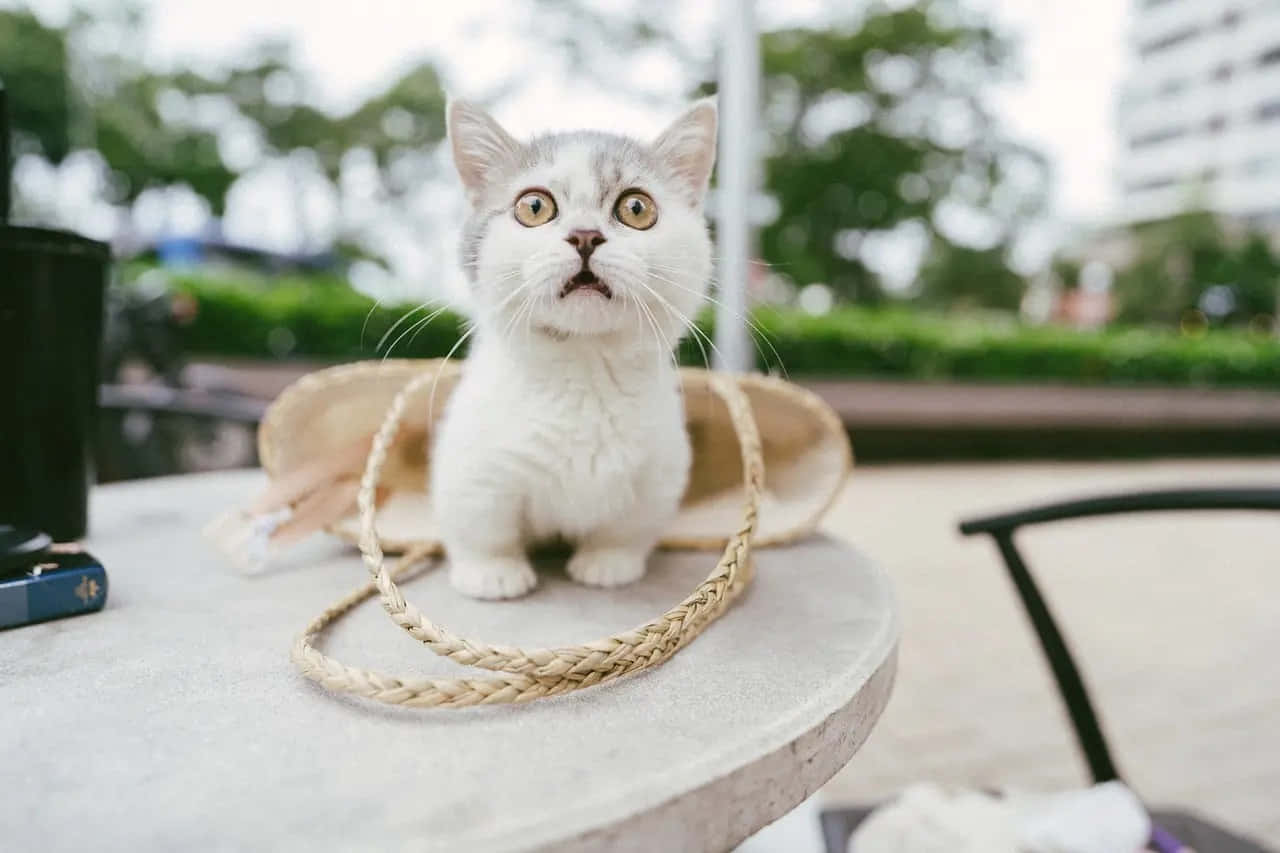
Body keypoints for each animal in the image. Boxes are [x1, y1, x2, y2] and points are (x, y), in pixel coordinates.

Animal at [435, 97, 721, 596]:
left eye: (636, 208)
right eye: (533, 206)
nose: (586, 235)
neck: (584, 368)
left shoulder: (658, 473)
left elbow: (626, 529)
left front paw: (608, 563)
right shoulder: (471, 468)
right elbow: (482, 525)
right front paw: (492, 573)